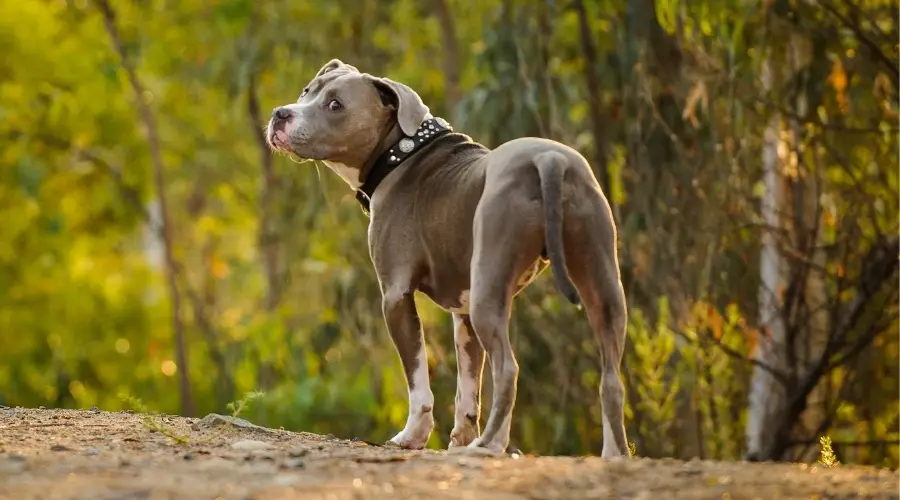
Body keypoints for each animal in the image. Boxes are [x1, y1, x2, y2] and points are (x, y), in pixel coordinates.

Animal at [268, 58, 628, 458]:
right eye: (307, 91)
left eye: (335, 105)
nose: (280, 114)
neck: (402, 153)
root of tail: (549, 159)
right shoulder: (464, 311)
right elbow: (467, 387)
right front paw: (460, 439)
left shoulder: (396, 296)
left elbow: (418, 380)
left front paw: (413, 436)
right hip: (602, 287)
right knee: (611, 378)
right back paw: (613, 454)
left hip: (490, 292)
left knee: (508, 369)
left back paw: (490, 444)